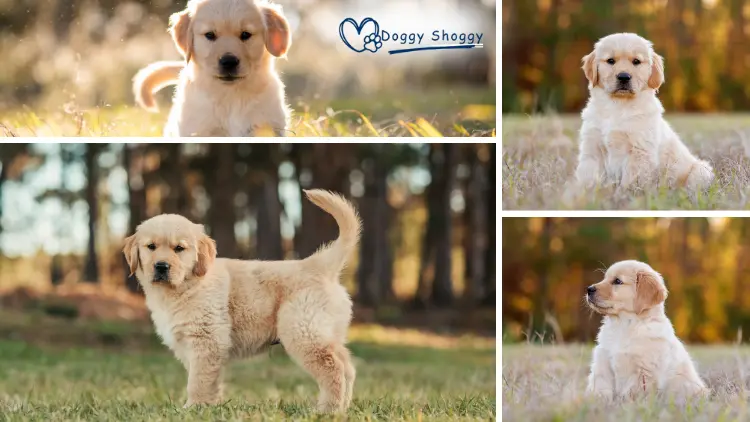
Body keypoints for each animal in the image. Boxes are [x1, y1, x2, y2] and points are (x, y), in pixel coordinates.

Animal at [122, 189, 362, 412]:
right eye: (151, 247)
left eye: (179, 249)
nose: (161, 266)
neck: (185, 286)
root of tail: (318, 264)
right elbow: (208, 380)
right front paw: (210, 407)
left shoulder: (207, 340)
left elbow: (197, 380)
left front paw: (193, 407)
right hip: (327, 333)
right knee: (347, 367)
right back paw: (343, 408)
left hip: (303, 332)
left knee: (332, 368)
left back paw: (327, 409)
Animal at [580, 33, 712, 190]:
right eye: (610, 61)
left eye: (636, 61)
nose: (624, 77)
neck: (618, 105)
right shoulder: (592, 149)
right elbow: (588, 178)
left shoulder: (639, 151)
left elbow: (629, 183)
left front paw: (624, 195)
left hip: (701, 170)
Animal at [588, 258, 712, 400]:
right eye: (605, 278)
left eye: (617, 281)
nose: (589, 289)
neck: (624, 325)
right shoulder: (603, 362)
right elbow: (601, 387)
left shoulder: (642, 372)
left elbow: (633, 393)